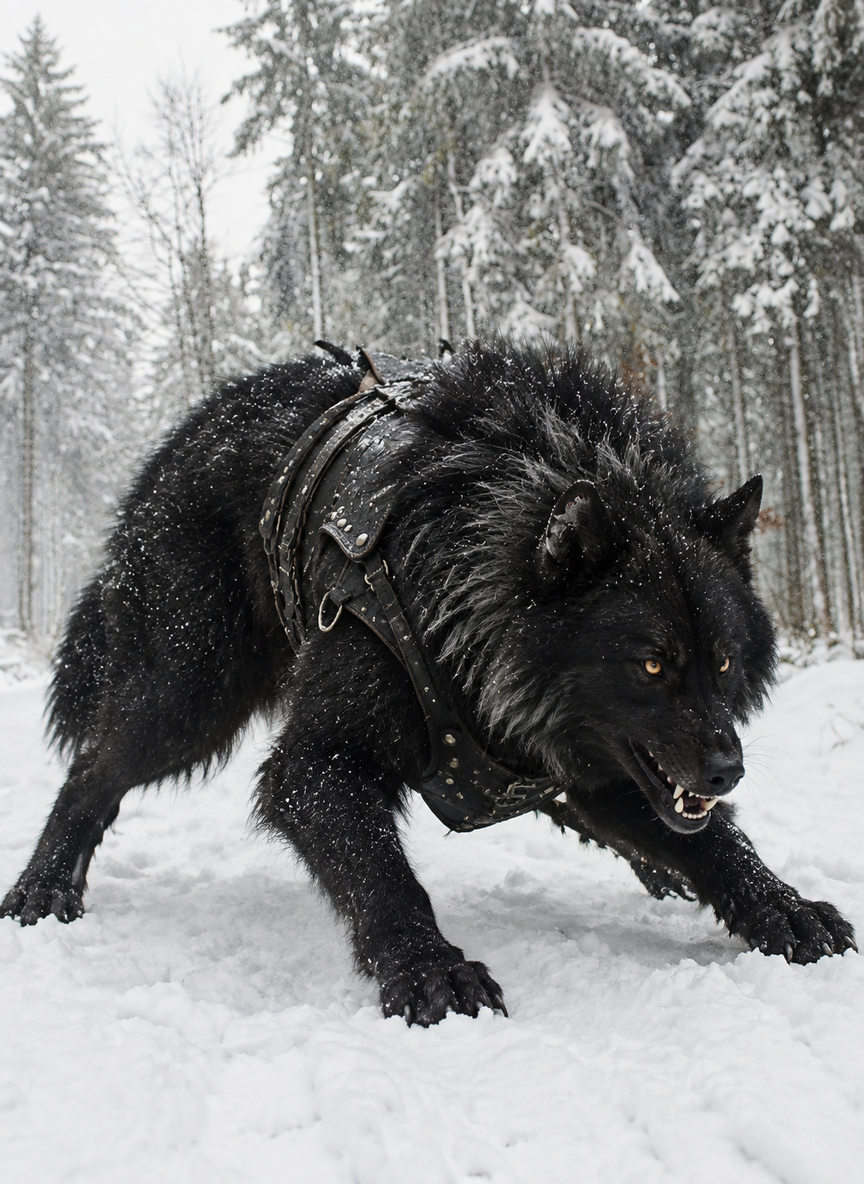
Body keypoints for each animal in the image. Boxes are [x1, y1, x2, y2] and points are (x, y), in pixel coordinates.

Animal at [1, 339, 855, 1025]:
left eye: (722, 662)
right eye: (651, 664)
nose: (727, 768)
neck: (466, 576)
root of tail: (182, 438)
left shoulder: (592, 763)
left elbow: (716, 842)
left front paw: (782, 907)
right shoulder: (313, 768)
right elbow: (385, 877)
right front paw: (428, 968)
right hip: (190, 700)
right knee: (92, 770)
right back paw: (44, 887)